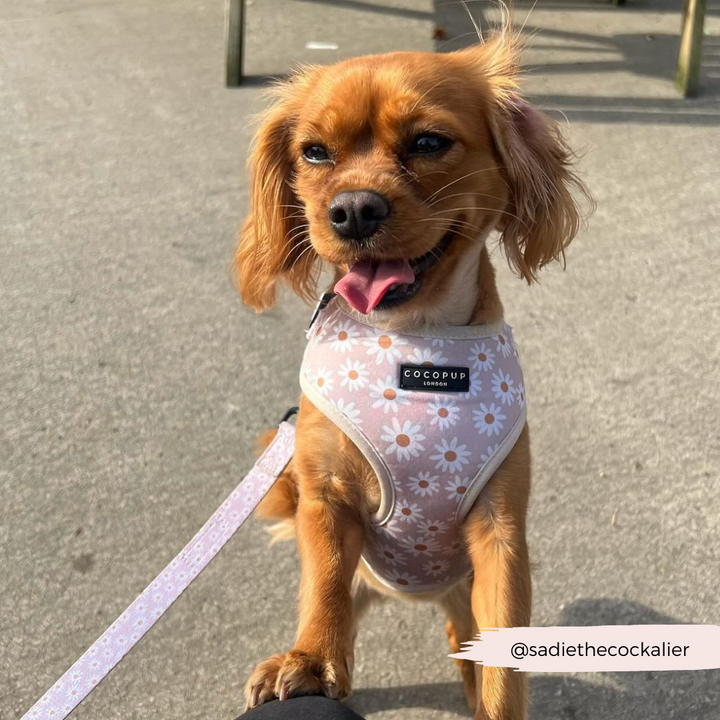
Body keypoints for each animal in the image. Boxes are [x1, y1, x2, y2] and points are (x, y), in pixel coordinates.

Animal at [235, 31, 592, 720]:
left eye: (428, 142)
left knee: (466, 641)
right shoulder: (326, 502)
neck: (417, 342)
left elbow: (506, 666)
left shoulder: (500, 535)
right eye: (313, 153)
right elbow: (324, 589)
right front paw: (311, 659)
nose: (352, 209)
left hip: (464, 590)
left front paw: (498, 706)